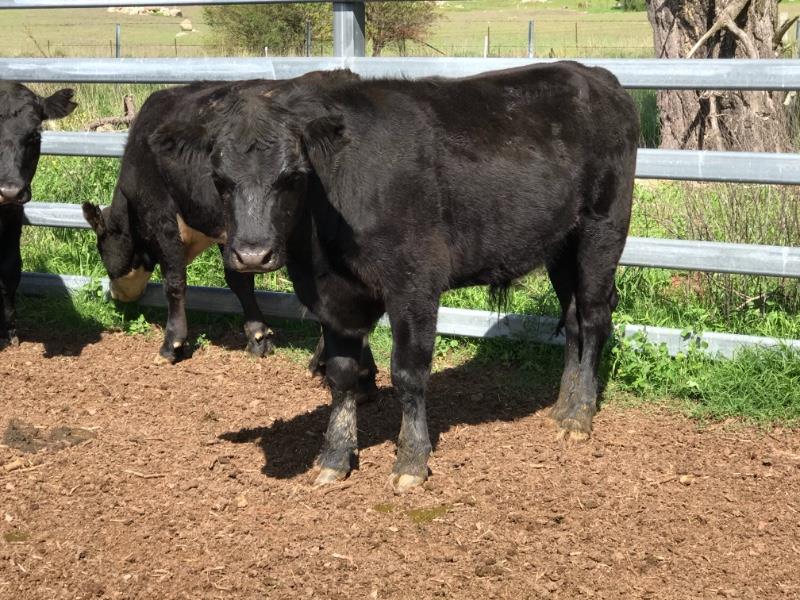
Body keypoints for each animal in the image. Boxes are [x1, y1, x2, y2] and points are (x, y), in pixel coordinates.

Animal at [159, 62, 640, 492]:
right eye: (220, 180)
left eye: (292, 176)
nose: (252, 254)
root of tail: (596, 76)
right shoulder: (333, 296)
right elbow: (341, 374)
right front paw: (335, 456)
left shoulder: (414, 284)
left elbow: (408, 373)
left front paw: (410, 460)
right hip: (561, 244)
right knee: (573, 318)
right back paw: (563, 405)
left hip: (602, 229)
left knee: (594, 317)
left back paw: (580, 415)